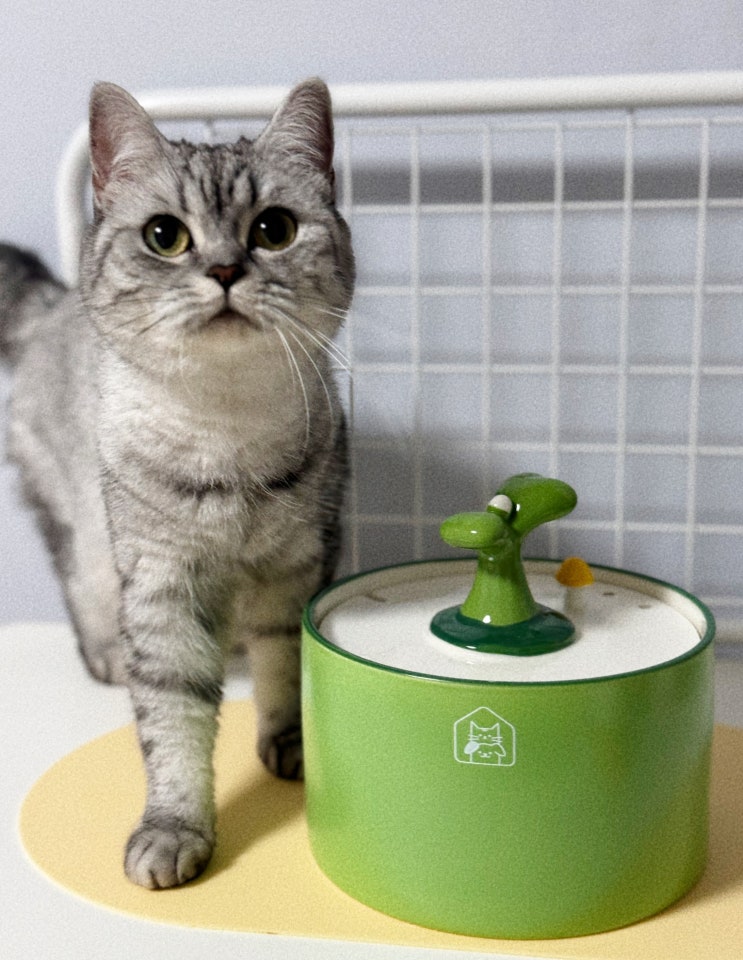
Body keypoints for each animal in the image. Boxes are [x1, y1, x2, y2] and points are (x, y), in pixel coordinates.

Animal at [0, 77, 354, 888]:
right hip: (82, 535)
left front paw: (290, 744)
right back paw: (103, 653)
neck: (226, 435)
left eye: (274, 229)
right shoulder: (163, 584)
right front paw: (173, 830)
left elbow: (285, 669)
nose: (224, 270)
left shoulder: (298, 565)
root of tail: (51, 300)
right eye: (166, 236)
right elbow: (173, 721)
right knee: (80, 588)